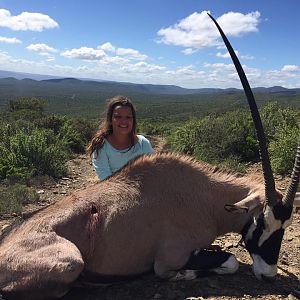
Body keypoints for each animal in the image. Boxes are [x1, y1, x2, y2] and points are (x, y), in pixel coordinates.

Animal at [0, 12, 300, 300]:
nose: (268, 275)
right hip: (72, 262)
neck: (202, 197)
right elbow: (229, 262)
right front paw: (185, 275)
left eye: (284, 226)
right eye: (260, 222)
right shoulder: (169, 258)